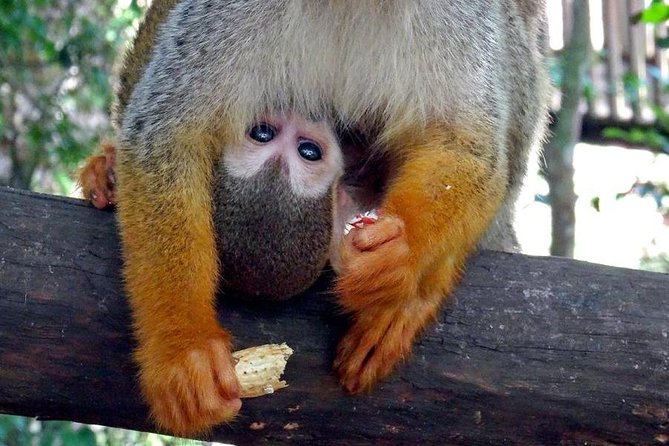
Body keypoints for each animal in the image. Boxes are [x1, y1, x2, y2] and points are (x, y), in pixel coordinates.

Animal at [82, 0, 549, 436]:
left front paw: (401, 253)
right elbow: (167, 136)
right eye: (263, 134)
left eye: (309, 151)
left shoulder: (460, 13)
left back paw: (421, 291)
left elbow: (468, 148)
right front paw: (183, 348)